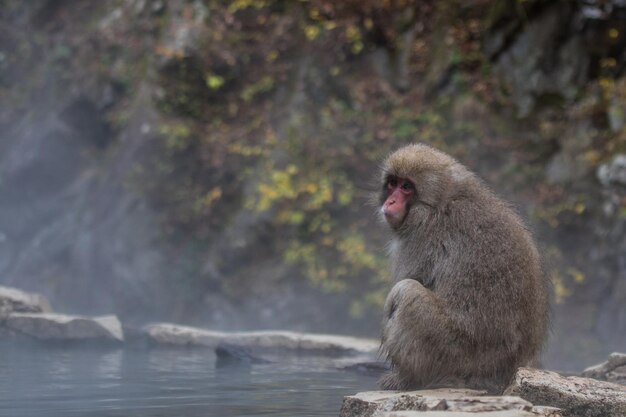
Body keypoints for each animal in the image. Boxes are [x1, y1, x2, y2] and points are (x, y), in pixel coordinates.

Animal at [376, 141, 544, 392]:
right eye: (392, 183)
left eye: (406, 187)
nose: (390, 202)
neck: (443, 201)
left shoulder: (420, 236)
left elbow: (409, 281)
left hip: (450, 350)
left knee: (405, 292)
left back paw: (408, 379)